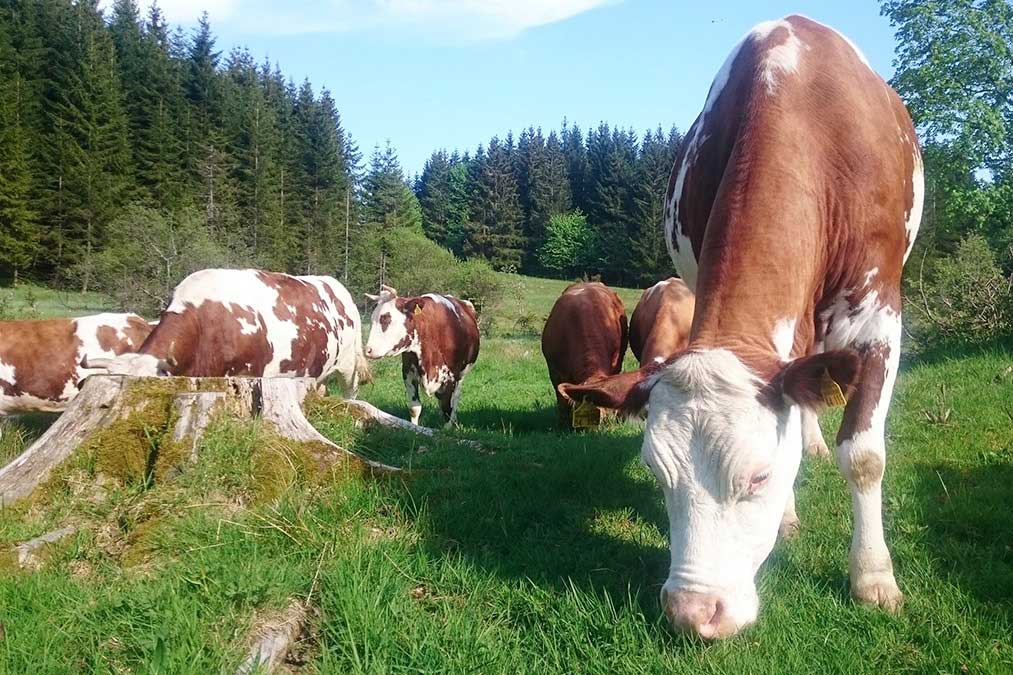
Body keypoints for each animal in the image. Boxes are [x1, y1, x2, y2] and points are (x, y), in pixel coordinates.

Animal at [364, 285, 480, 427]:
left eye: (386, 319)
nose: (368, 350)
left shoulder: (451, 378)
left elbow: (447, 408)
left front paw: (447, 428)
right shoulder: (408, 373)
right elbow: (415, 408)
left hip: (462, 375)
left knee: (455, 398)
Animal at [558, 16, 922, 638]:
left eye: (757, 478)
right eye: (655, 473)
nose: (693, 612)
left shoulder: (879, 311)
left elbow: (864, 455)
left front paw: (873, 578)